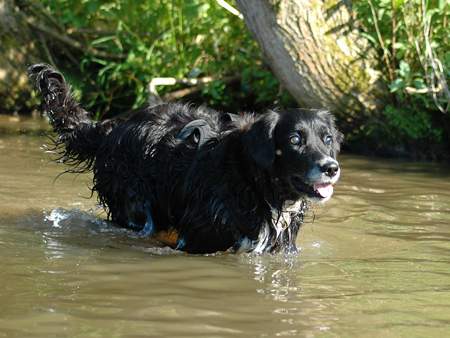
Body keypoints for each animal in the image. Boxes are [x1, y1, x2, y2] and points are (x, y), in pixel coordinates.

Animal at [29, 64, 342, 254]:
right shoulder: (198, 239)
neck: (252, 181)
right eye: (295, 140)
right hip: (134, 208)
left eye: (327, 139)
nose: (331, 168)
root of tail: (112, 126)